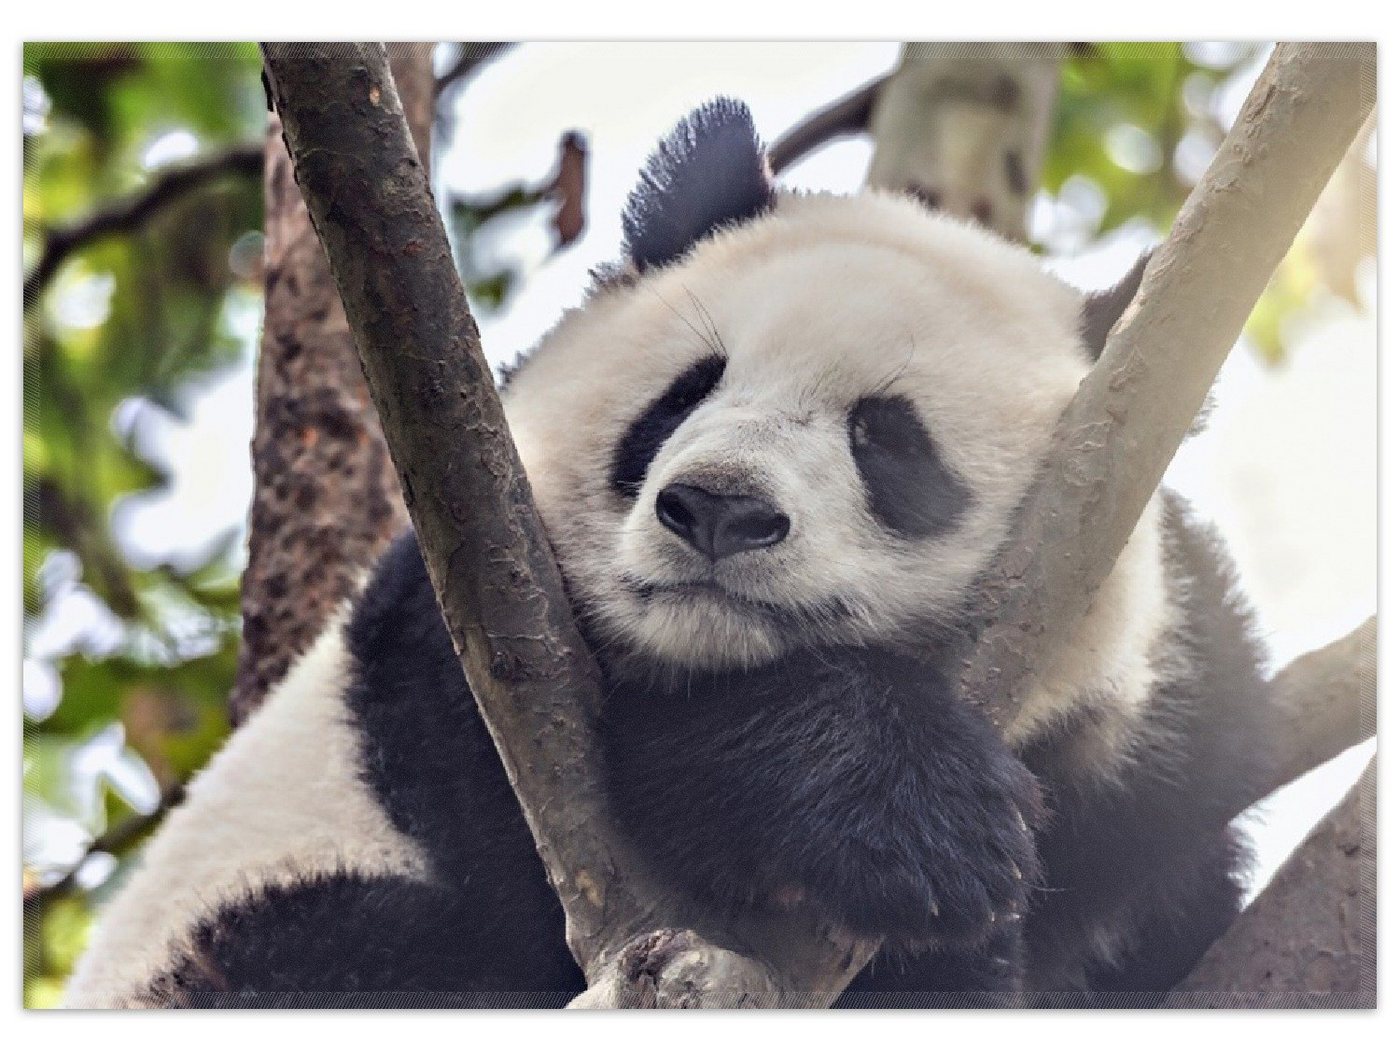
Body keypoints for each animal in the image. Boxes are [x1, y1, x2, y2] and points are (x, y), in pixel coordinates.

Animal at [63, 98, 1271, 1013]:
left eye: (886, 439)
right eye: (686, 392)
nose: (718, 510)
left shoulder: (1151, 763)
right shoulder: (461, 619)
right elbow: (566, 792)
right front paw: (908, 818)